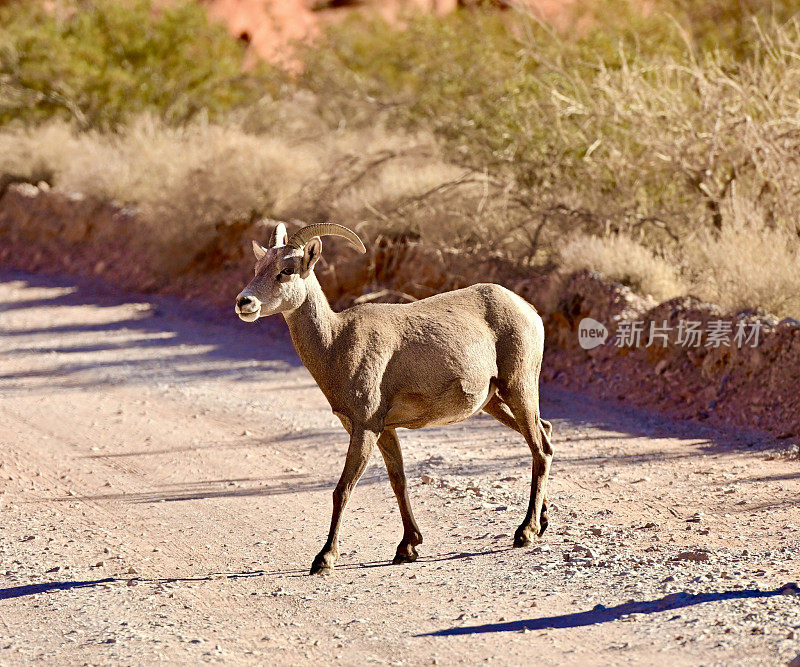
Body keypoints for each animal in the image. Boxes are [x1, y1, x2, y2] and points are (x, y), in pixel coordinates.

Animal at [234, 223, 552, 576]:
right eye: (258, 267)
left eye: (286, 271)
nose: (244, 302)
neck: (336, 344)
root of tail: (529, 311)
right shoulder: (385, 430)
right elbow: (397, 481)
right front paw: (407, 547)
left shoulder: (365, 428)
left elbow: (343, 489)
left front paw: (324, 559)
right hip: (495, 402)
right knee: (546, 436)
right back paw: (542, 522)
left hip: (519, 388)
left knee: (539, 449)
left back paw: (525, 533)